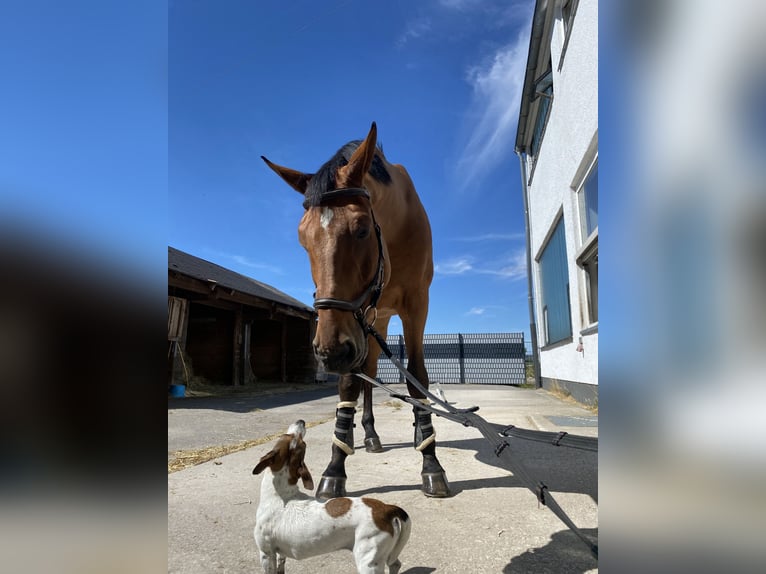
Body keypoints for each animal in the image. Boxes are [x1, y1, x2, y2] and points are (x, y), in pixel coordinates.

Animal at [262, 122, 450, 499]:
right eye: (302, 238)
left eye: (362, 229)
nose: (328, 352)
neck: (395, 229)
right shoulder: (355, 323)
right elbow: (350, 383)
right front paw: (336, 466)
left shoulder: (416, 304)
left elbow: (417, 378)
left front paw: (431, 462)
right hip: (369, 322)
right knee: (366, 374)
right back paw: (364, 435)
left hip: (379, 318)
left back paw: (413, 434)